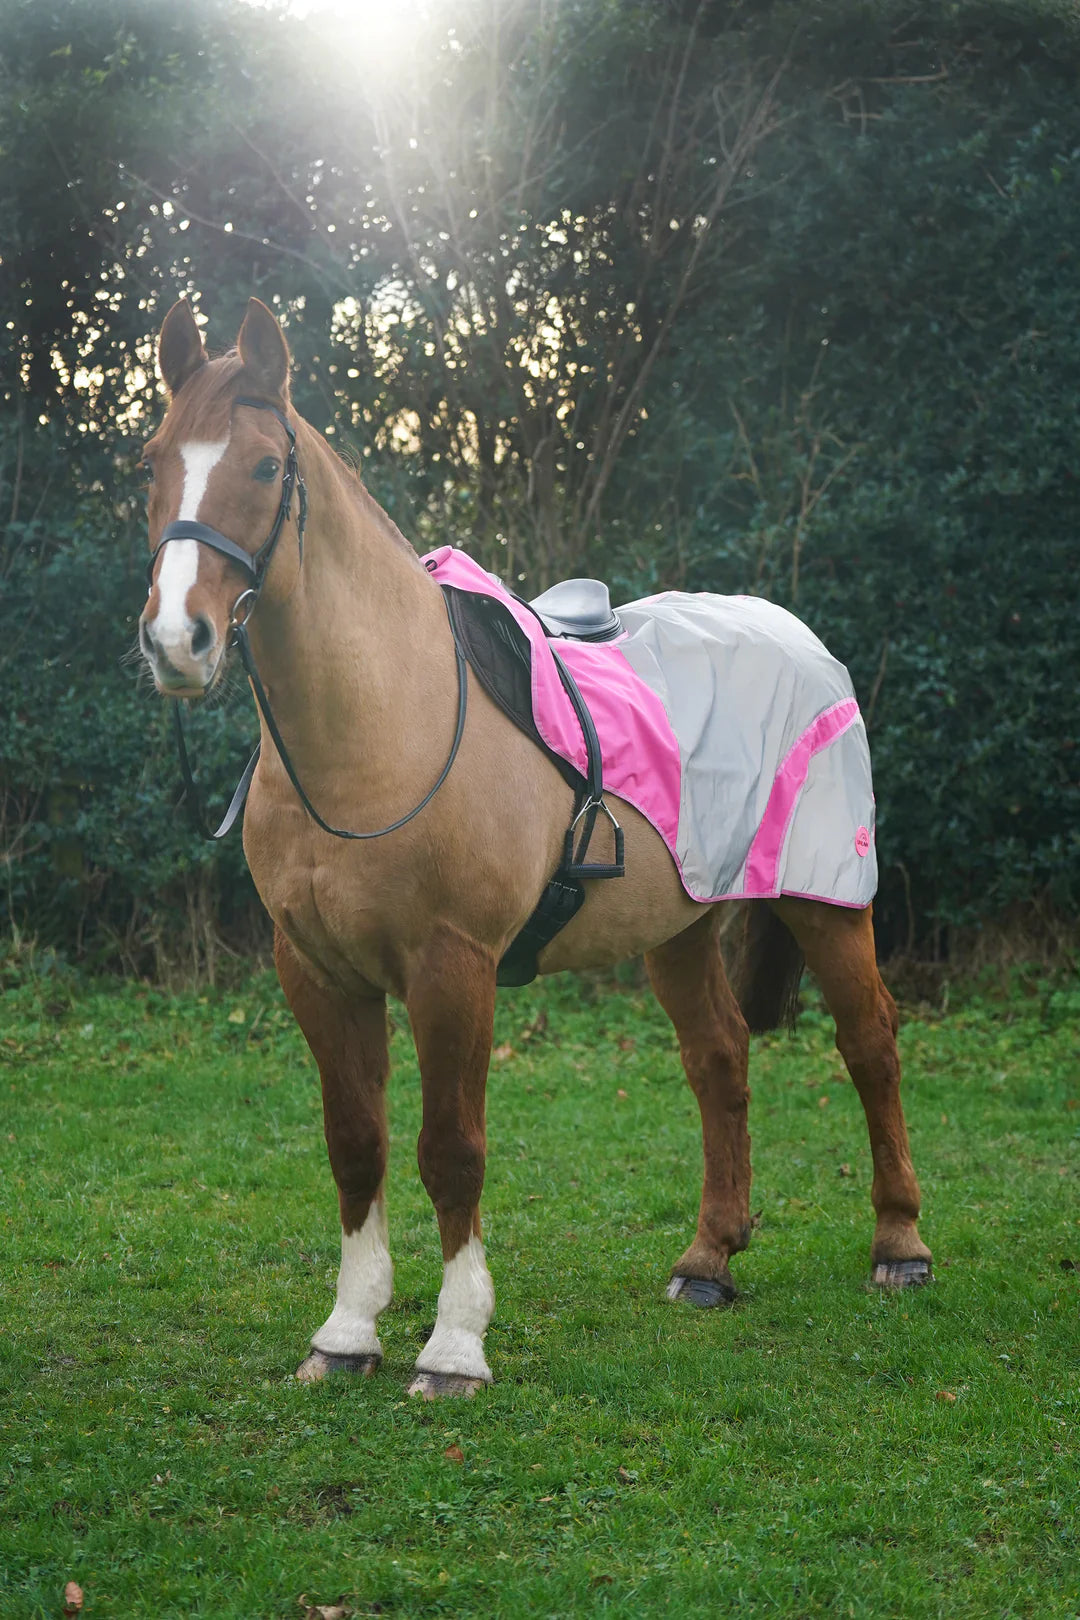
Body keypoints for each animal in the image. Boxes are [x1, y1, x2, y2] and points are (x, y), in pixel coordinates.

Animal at [135, 298, 932, 1399]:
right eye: (154, 460)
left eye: (261, 466)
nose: (178, 640)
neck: (383, 726)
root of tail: (793, 634)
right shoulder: (318, 972)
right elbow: (355, 1143)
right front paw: (346, 1334)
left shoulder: (452, 966)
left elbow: (451, 1148)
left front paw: (454, 1347)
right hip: (679, 924)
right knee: (718, 1058)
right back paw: (709, 1260)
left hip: (826, 899)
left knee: (870, 1043)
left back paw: (900, 1246)